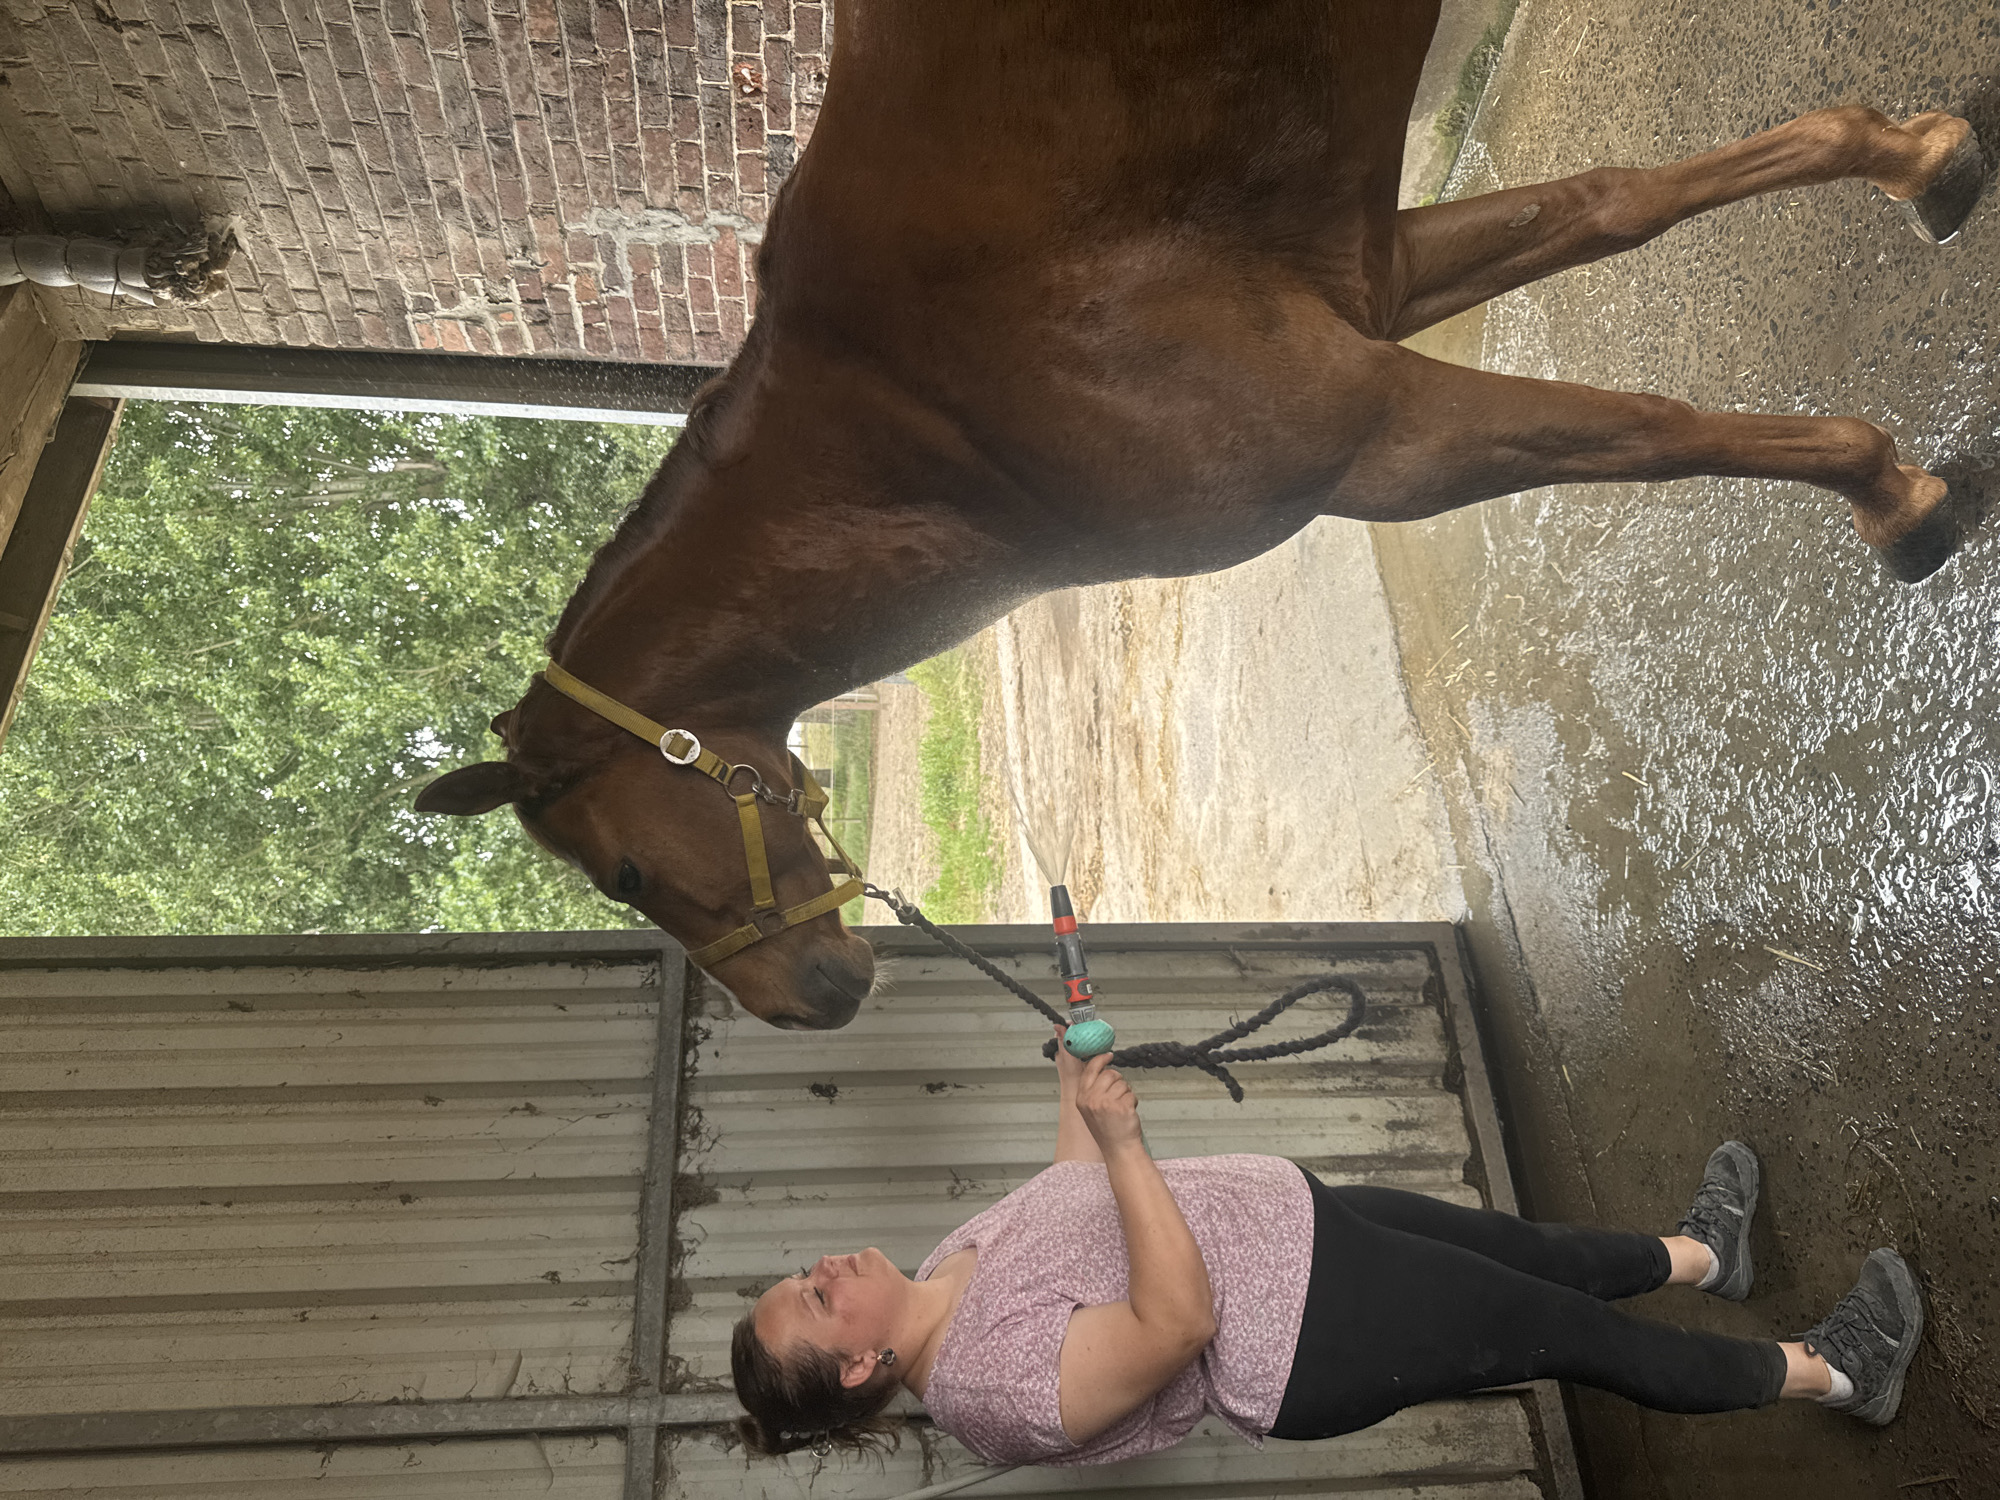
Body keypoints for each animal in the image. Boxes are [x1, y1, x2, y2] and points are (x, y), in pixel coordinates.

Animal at [415, 0, 1985, 1031]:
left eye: (623, 871)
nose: (813, 1000)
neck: (926, 420)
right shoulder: (1373, 289)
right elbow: (1617, 203)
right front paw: (1917, 158)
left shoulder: (1382, 442)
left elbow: (1654, 431)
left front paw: (1898, 498)